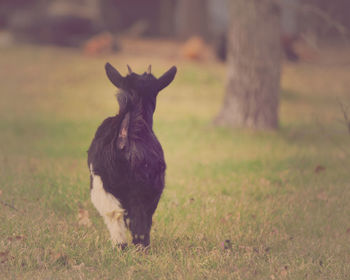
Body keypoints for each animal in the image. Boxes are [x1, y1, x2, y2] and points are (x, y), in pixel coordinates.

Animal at [87, 63, 175, 247]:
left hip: (102, 184)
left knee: (116, 214)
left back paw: (121, 245)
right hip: (144, 187)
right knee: (138, 220)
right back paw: (140, 246)